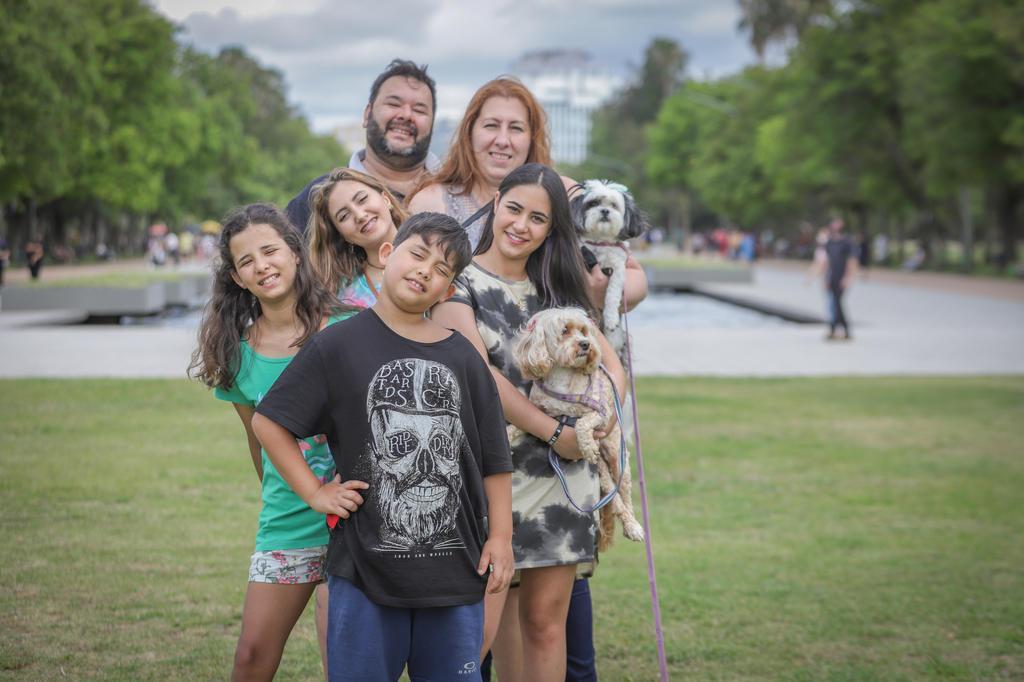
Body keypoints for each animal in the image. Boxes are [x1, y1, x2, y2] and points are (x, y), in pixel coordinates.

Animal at [509, 305, 643, 548]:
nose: (585, 344)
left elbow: (582, 423)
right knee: (614, 496)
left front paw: (587, 445)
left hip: (617, 457)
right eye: (565, 331)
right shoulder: (538, 409)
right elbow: (515, 424)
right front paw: (505, 434)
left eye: (583, 331)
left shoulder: (600, 414)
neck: (562, 380)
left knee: (625, 494)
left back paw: (633, 526)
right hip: (603, 472)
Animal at [569, 178, 647, 352]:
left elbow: (613, 292)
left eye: (613, 205)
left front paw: (611, 318)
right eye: (594, 203)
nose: (604, 211)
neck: (599, 243)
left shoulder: (618, 269)